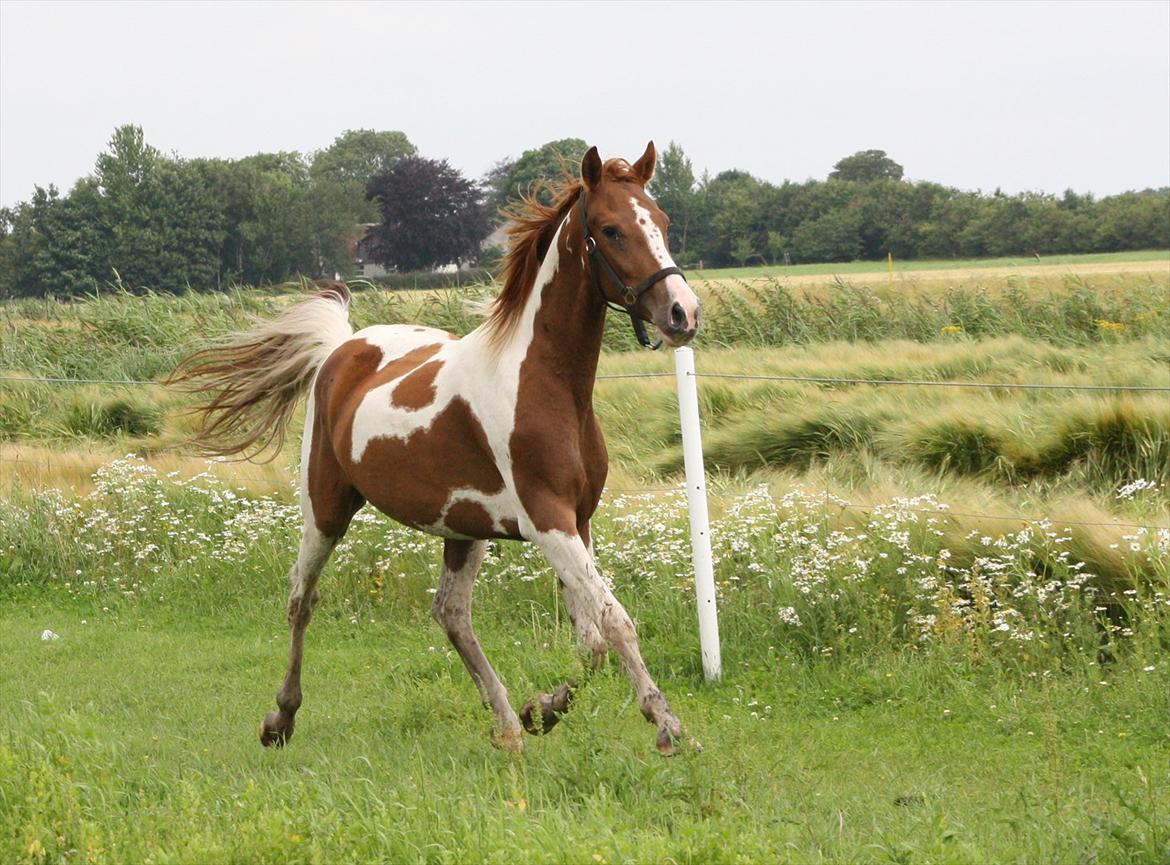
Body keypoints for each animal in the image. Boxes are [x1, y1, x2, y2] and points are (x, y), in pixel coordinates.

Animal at [170, 143, 702, 758]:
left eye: (663, 222)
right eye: (612, 230)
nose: (683, 314)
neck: (545, 384)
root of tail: (341, 348)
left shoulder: (578, 521)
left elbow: (590, 639)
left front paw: (541, 710)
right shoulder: (549, 521)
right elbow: (615, 625)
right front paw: (666, 725)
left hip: (462, 528)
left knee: (451, 614)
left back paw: (507, 725)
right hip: (325, 509)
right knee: (302, 597)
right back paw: (281, 719)